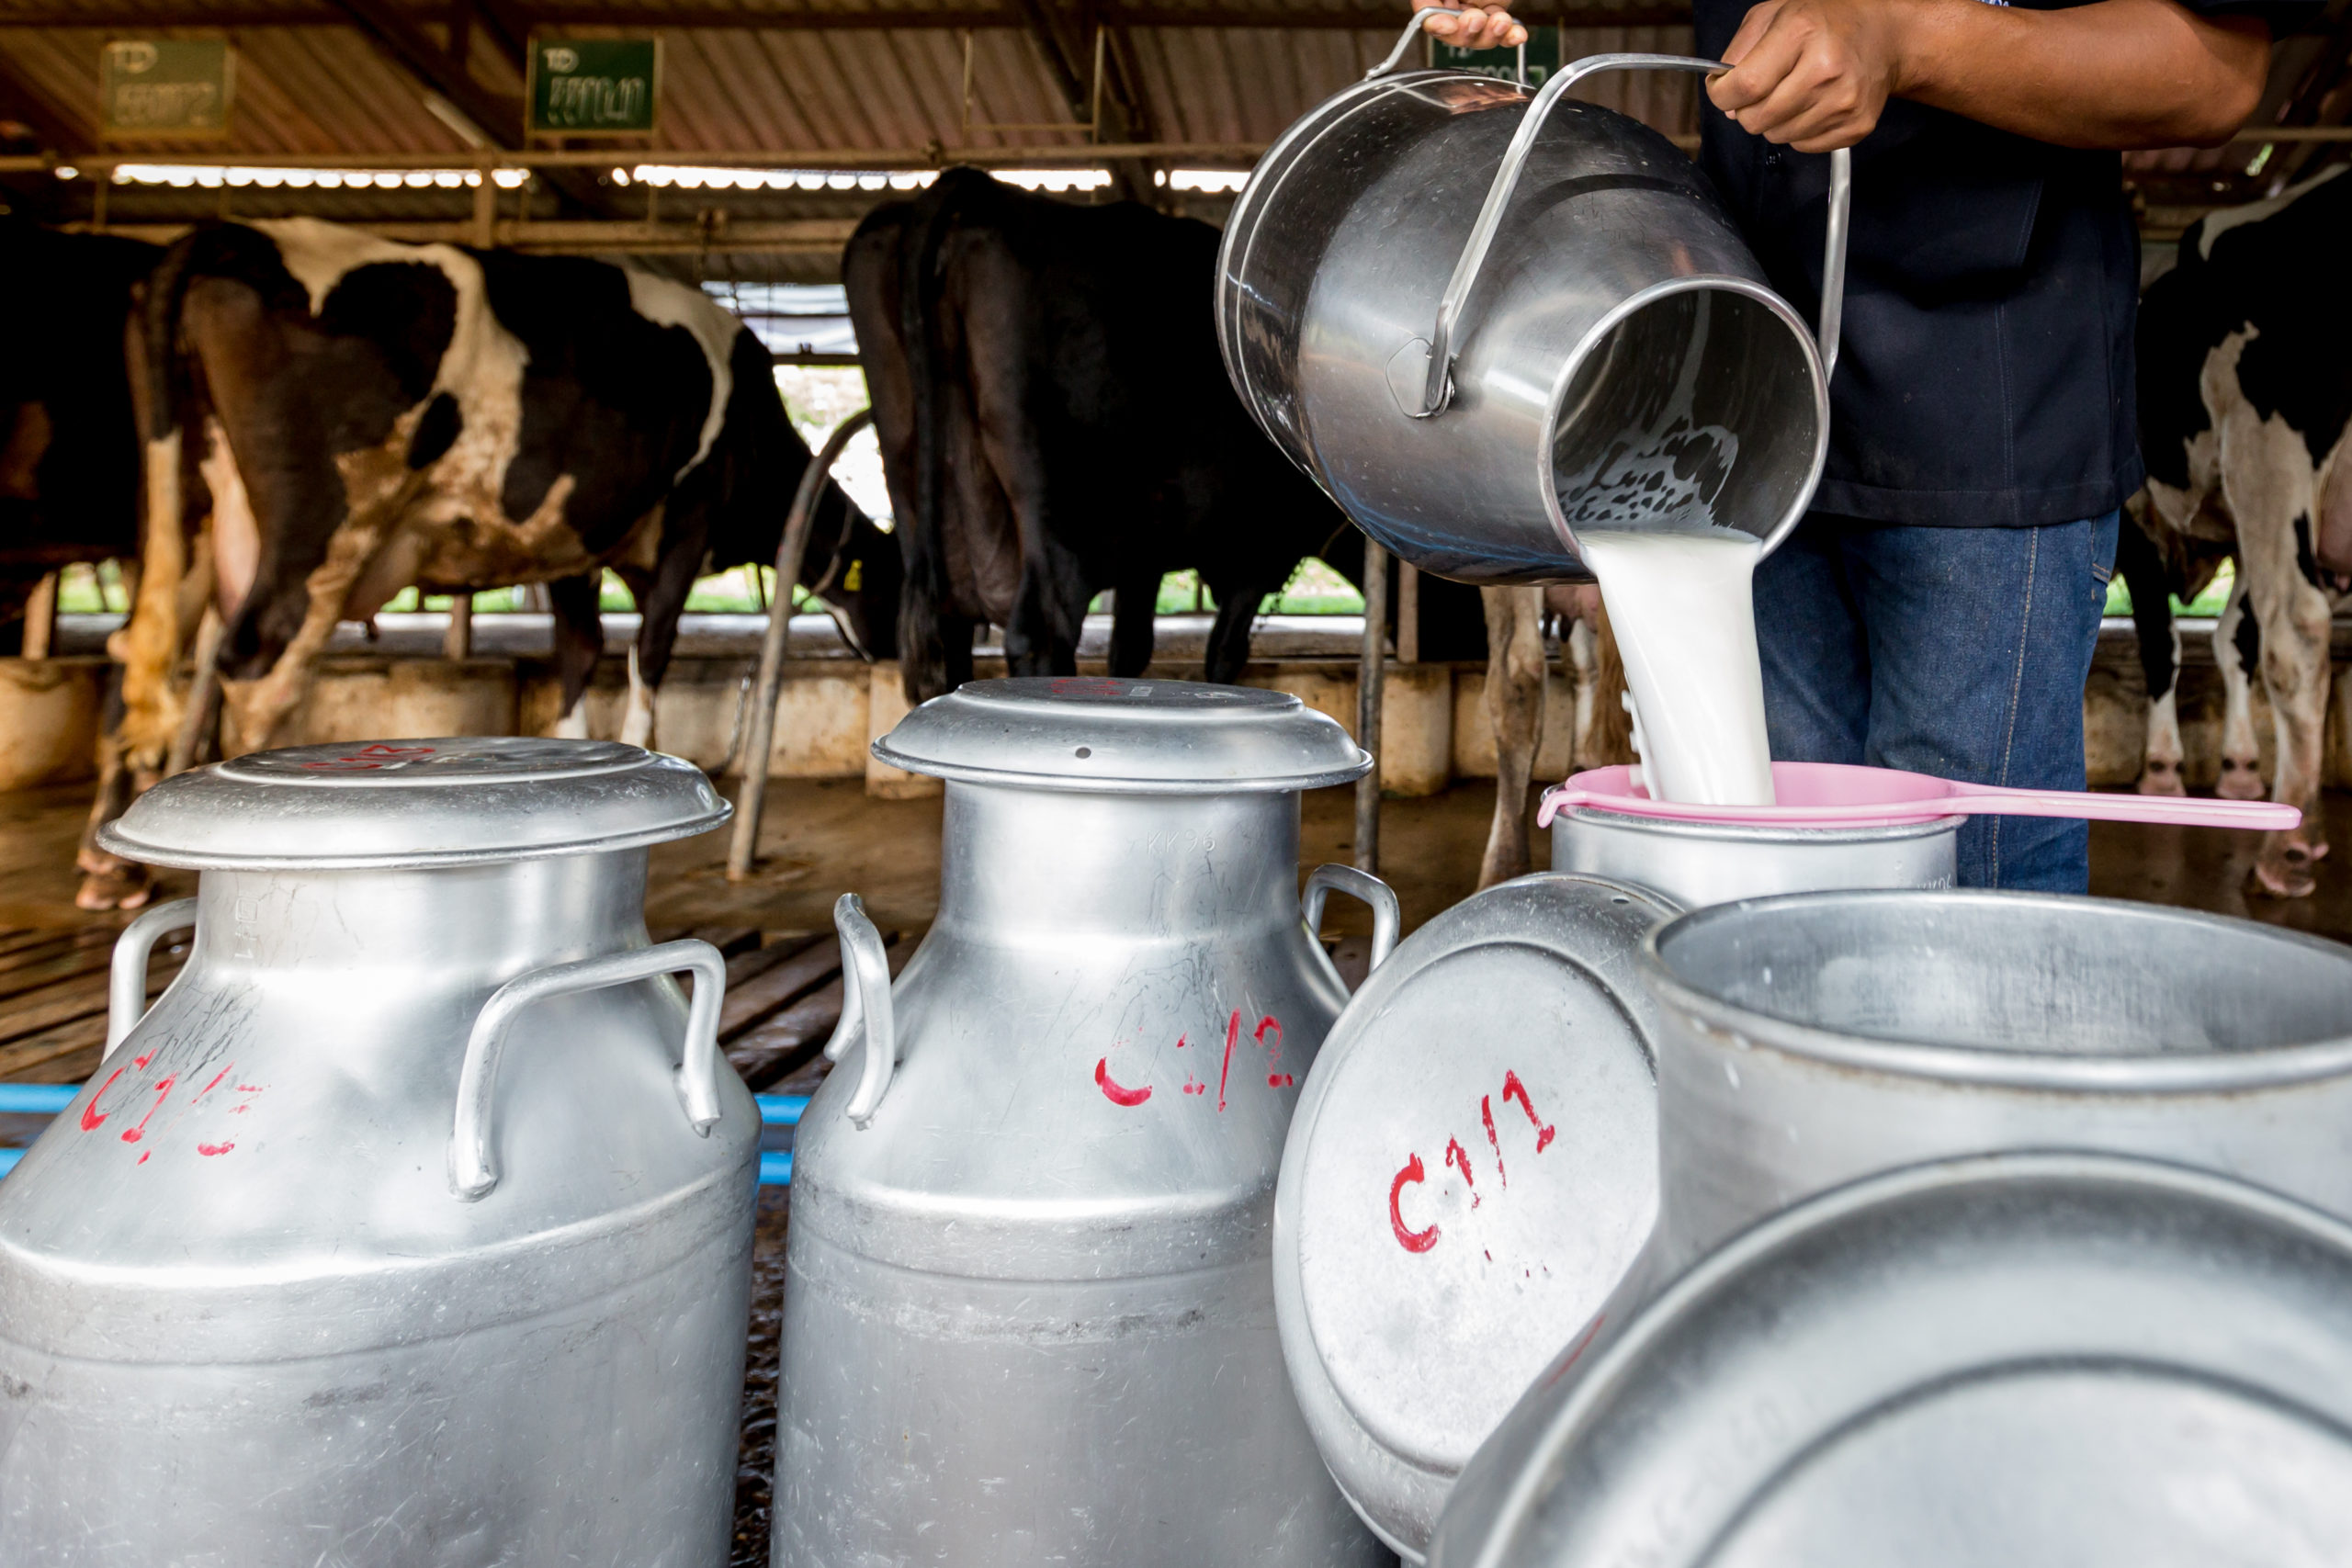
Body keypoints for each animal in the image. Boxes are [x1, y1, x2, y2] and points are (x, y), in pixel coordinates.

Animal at [71, 215, 898, 911]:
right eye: (893, 579)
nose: (891, 650)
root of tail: (233, 233)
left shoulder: (572, 541)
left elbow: (580, 652)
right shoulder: (685, 518)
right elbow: (649, 651)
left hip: (187, 510)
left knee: (133, 652)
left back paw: (111, 868)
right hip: (324, 523)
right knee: (257, 664)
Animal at [2135, 165, 2352, 902]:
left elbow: (2163, 641)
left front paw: (2162, 773)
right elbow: (2233, 640)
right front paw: (2237, 770)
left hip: (2267, 446)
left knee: (2297, 630)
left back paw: (2285, 847)